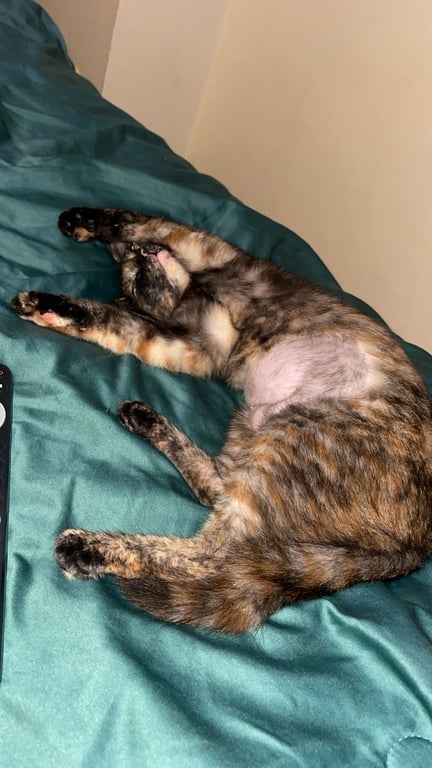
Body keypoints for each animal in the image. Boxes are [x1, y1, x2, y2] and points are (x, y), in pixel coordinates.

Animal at [11, 206, 432, 633]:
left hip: (284, 439)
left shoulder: (206, 252)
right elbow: (109, 319)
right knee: (214, 535)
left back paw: (89, 543)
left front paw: (77, 223)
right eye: (137, 279)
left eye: (136, 265)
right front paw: (47, 309)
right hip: (265, 432)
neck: (195, 298)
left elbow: (134, 220)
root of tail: (417, 547)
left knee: (218, 539)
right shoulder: (188, 344)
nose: (142, 254)